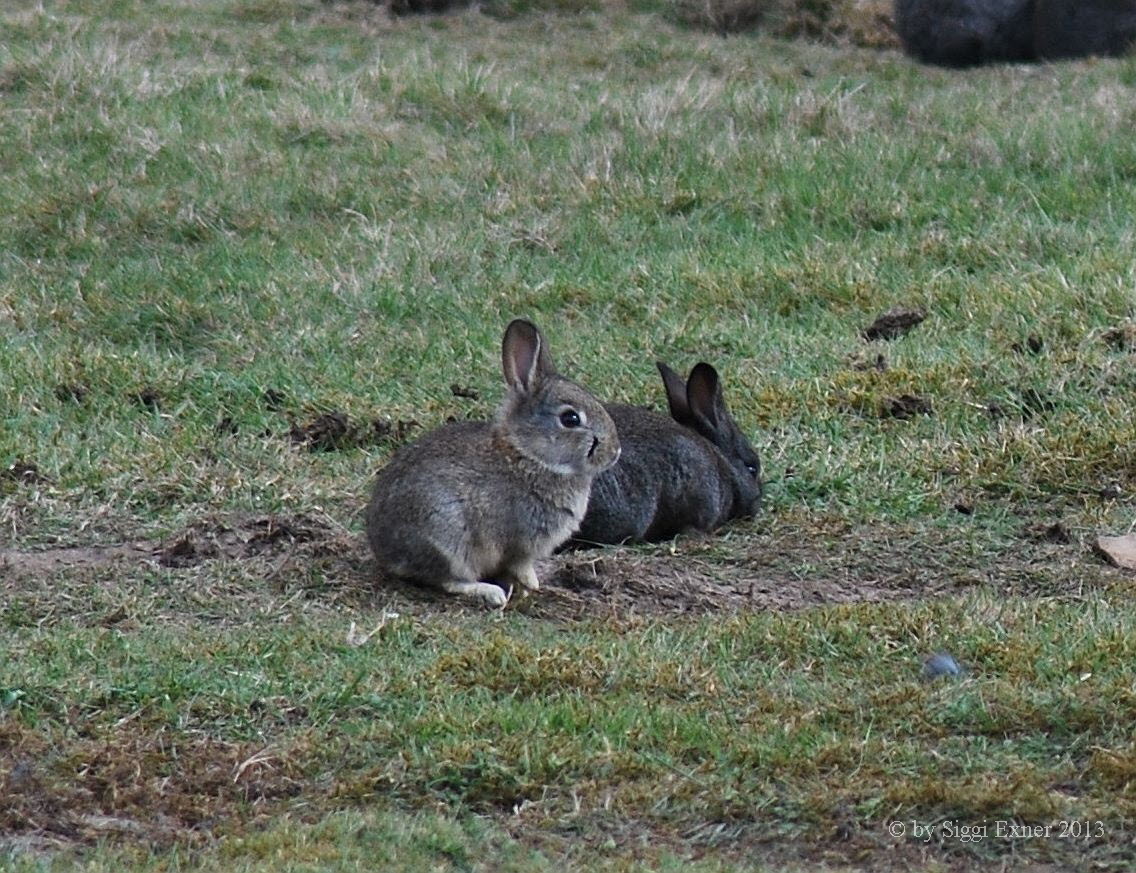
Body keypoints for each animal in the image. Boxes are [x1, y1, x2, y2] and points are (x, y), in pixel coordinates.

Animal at [365, 318, 622, 609]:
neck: (529, 455)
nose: (615, 452)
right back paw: (489, 592)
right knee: (448, 580)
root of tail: (385, 552)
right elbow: (521, 566)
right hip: (448, 538)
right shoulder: (520, 544)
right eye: (570, 419)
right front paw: (532, 585)